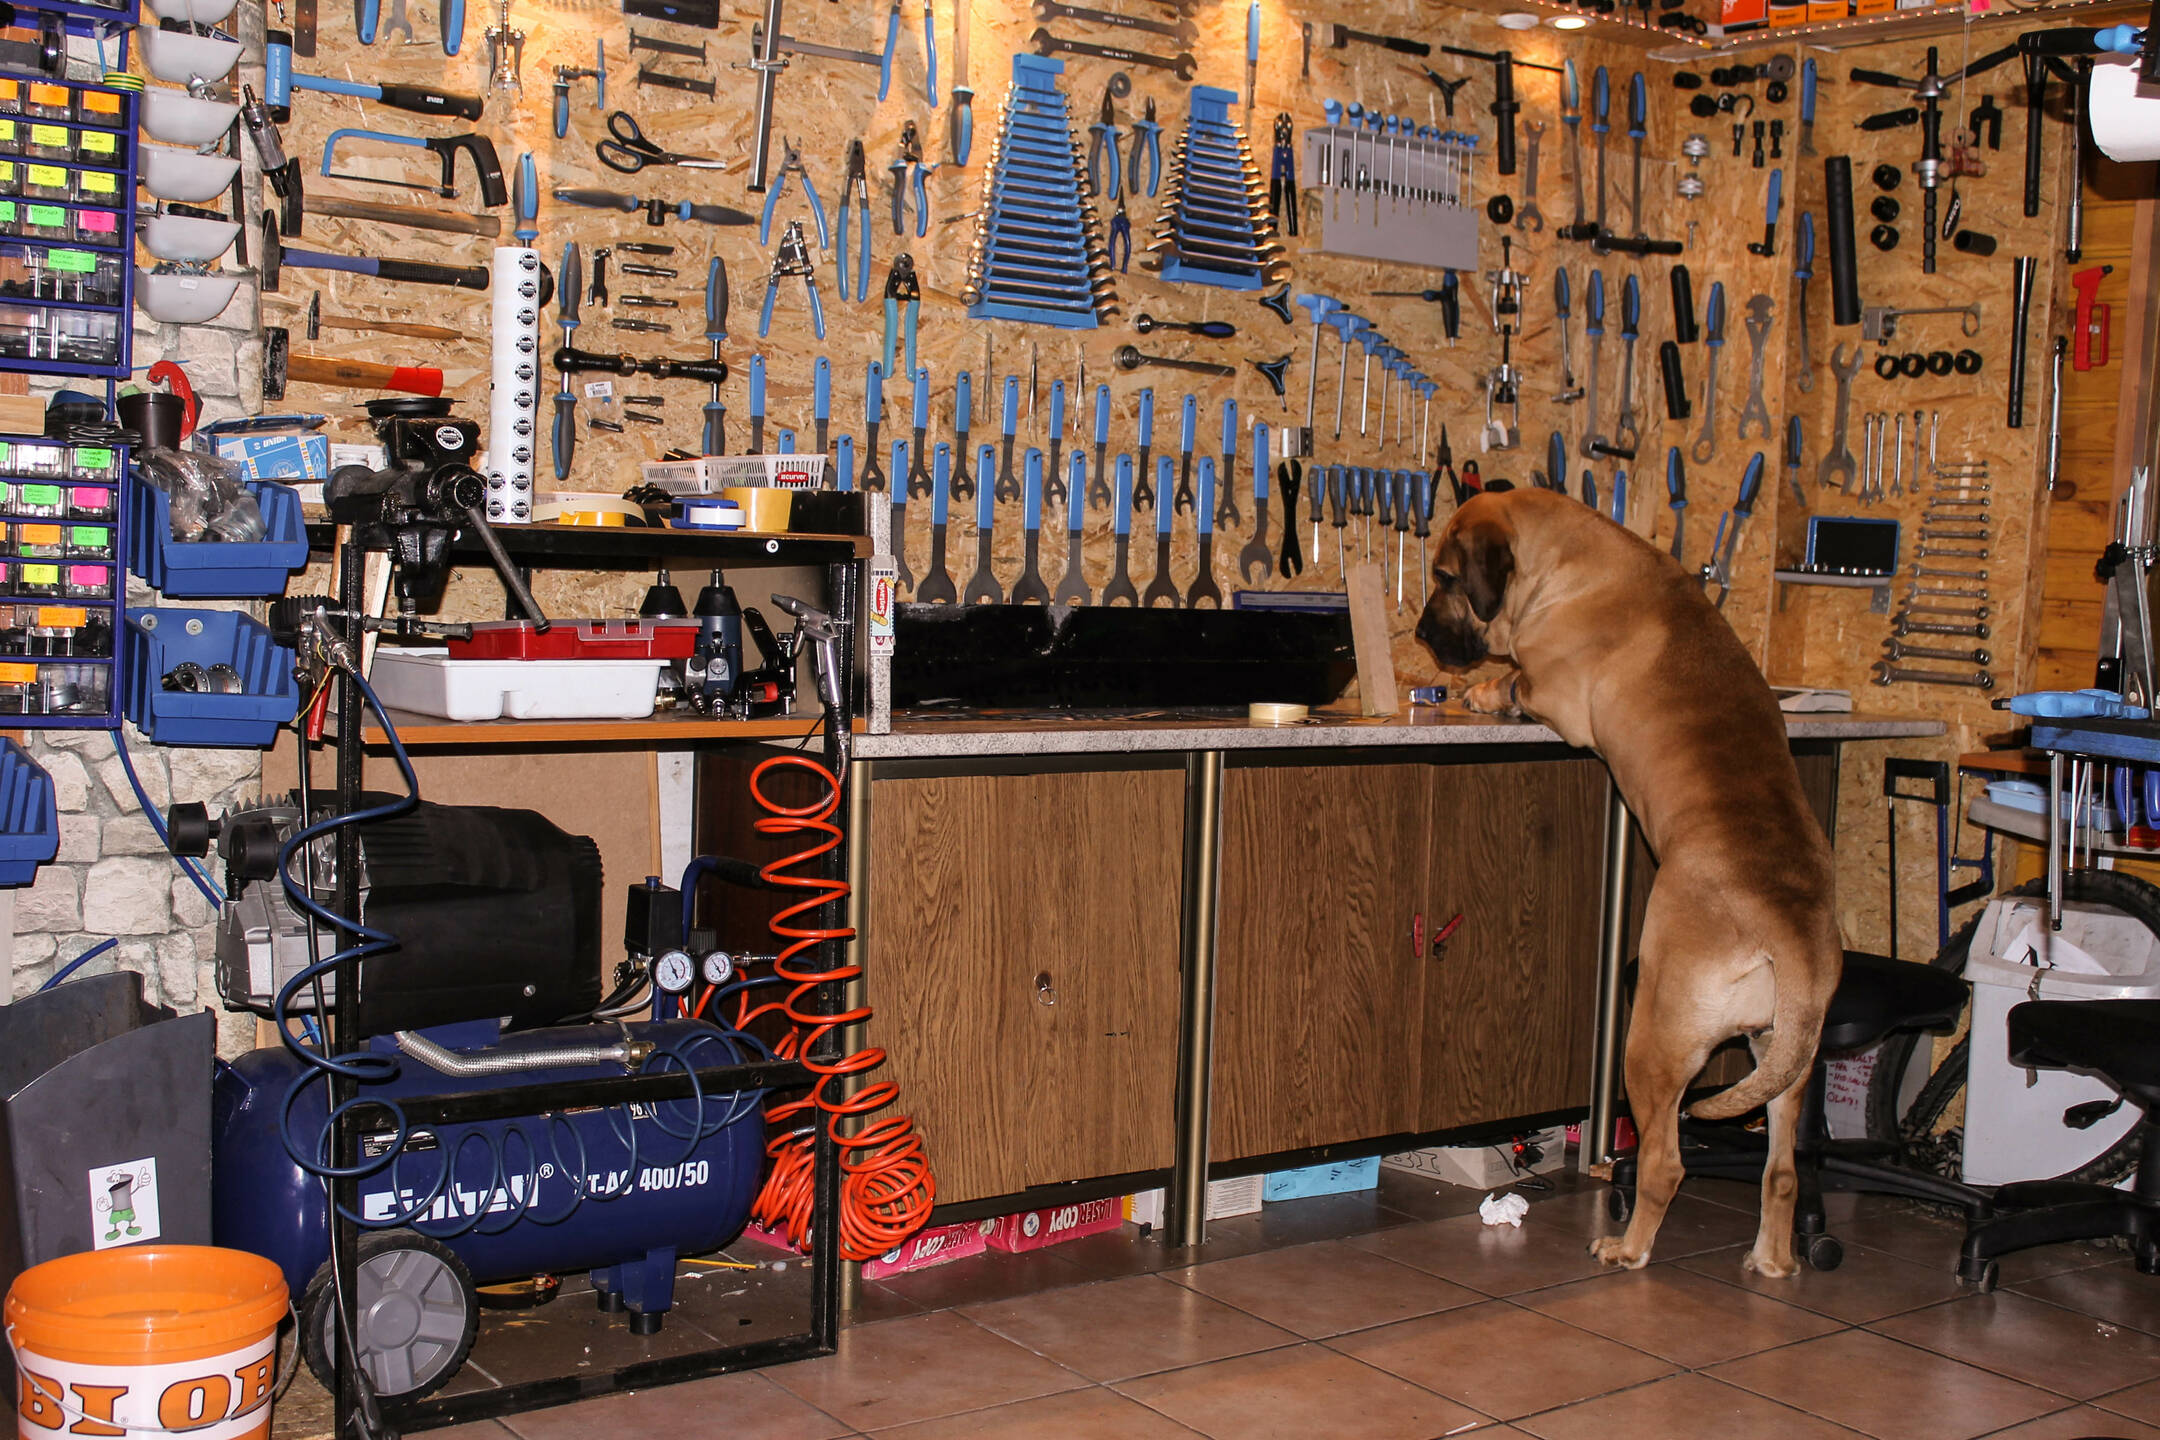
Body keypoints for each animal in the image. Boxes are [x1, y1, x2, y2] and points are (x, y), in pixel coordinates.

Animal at [1415, 489, 1842, 1277]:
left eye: (1447, 577)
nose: (1424, 633)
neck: (1567, 559)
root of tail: (1790, 926)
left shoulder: (1552, 688)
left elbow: (1513, 677)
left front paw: (1479, 692)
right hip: (1785, 1059)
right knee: (1781, 1170)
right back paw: (1772, 1261)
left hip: (1653, 1039)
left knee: (1666, 1162)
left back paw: (1627, 1247)